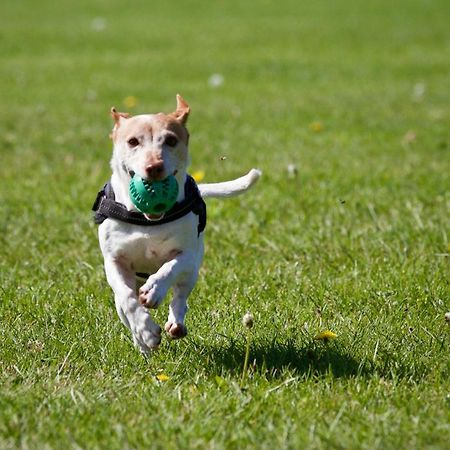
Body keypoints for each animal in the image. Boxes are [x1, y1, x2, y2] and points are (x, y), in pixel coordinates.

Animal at [92, 96, 260, 356]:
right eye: (132, 141)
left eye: (171, 140)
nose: (154, 167)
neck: (147, 220)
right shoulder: (114, 261)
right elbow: (128, 299)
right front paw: (146, 331)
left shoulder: (188, 255)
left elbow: (170, 268)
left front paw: (154, 290)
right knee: (125, 308)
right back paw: (142, 344)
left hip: (192, 272)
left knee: (180, 295)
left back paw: (175, 323)